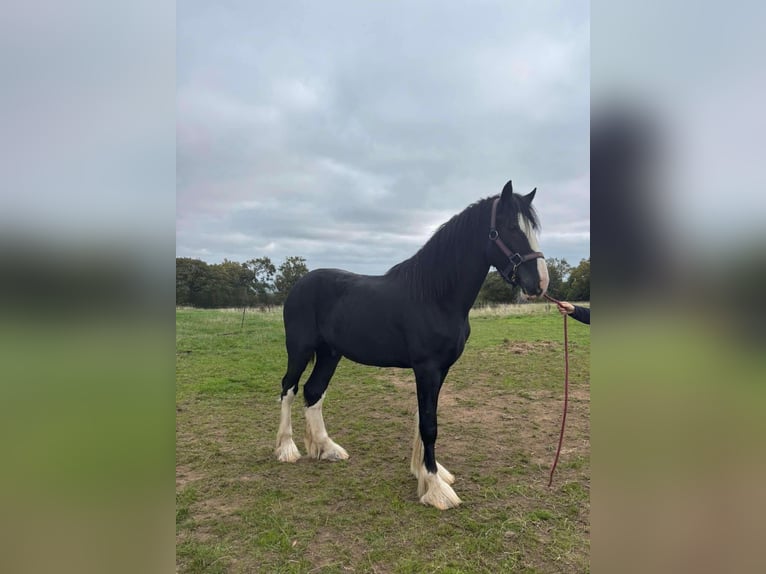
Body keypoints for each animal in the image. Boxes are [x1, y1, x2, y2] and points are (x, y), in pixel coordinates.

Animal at [274, 180, 549, 509]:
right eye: (510, 228)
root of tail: (300, 284)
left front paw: (429, 473)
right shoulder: (426, 368)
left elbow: (424, 418)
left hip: (330, 354)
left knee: (313, 391)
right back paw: (287, 449)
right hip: (299, 350)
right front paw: (436, 489)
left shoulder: (439, 370)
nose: (540, 283)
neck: (435, 296)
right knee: (288, 389)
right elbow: (429, 425)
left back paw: (327, 449)